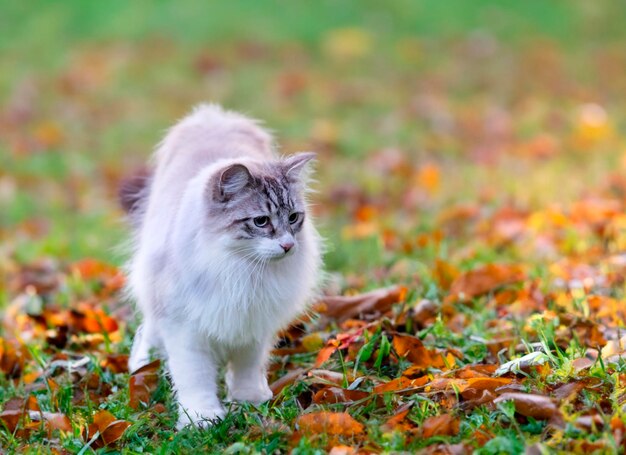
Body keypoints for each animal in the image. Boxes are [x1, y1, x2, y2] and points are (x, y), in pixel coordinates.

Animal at [120, 105, 322, 430]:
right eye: (261, 221)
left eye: (293, 218)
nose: (288, 245)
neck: (240, 269)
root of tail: (213, 115)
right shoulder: (185, 329)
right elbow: (195, 379)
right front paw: (202, 419)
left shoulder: (252, 324)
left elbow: (246, 369)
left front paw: (249, 401)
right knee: (147, 332)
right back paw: (140, 368)